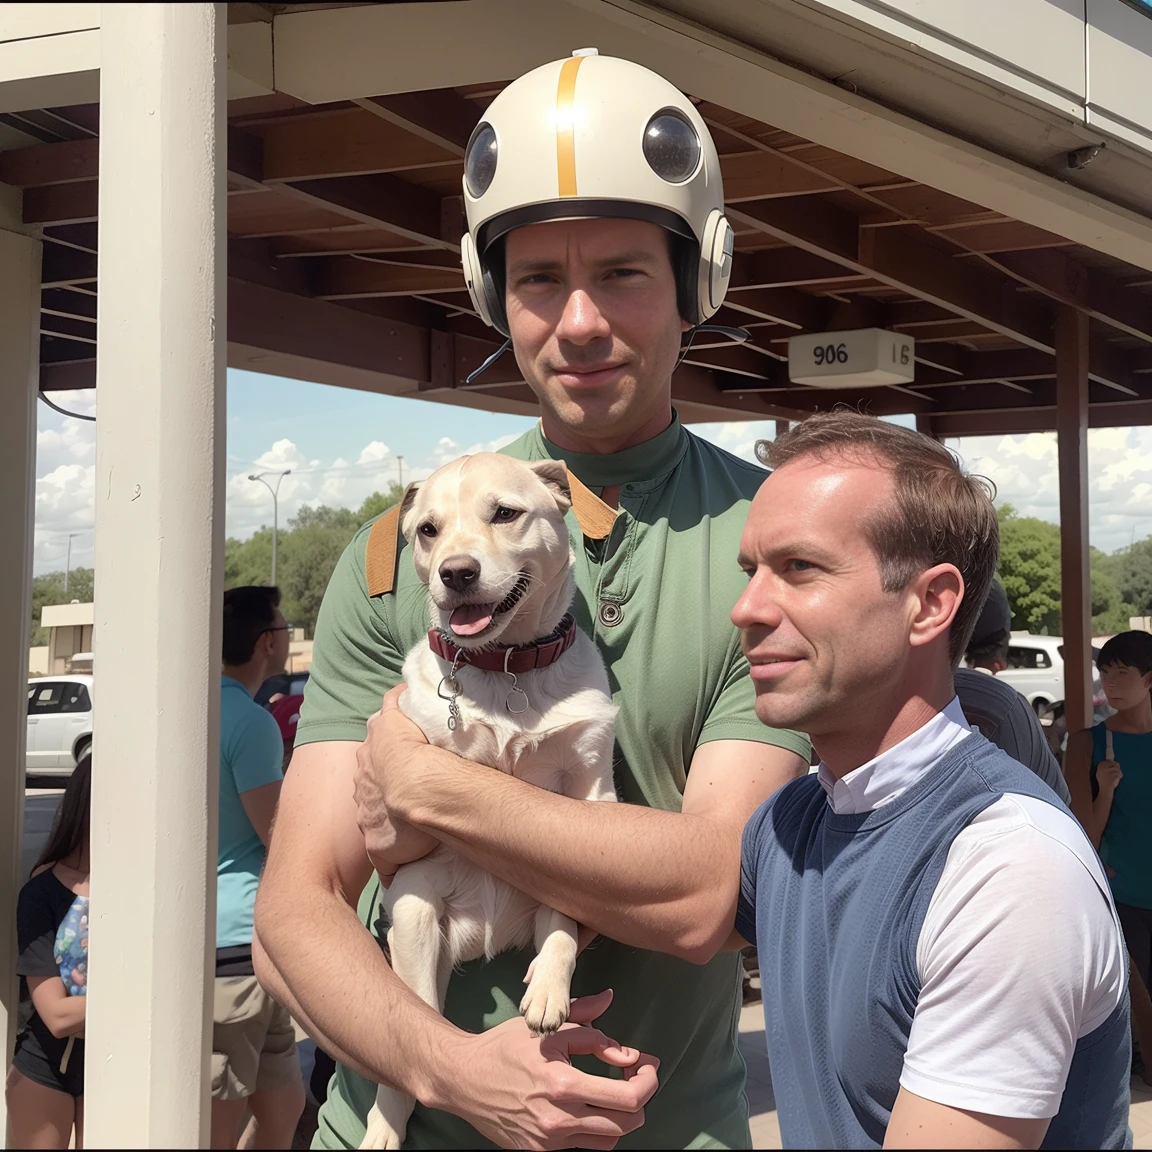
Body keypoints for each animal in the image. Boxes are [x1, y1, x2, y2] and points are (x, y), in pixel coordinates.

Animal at [361, 453, 622, 1147]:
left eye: (505, 513)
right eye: (427, 530)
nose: (456, 571)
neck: (507, 666)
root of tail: (484, 933)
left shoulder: (587, 786)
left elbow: (565, 916)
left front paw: (549, 989)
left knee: (553, 923)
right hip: (416, 920)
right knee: (412, 1041)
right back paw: (383, 1124)